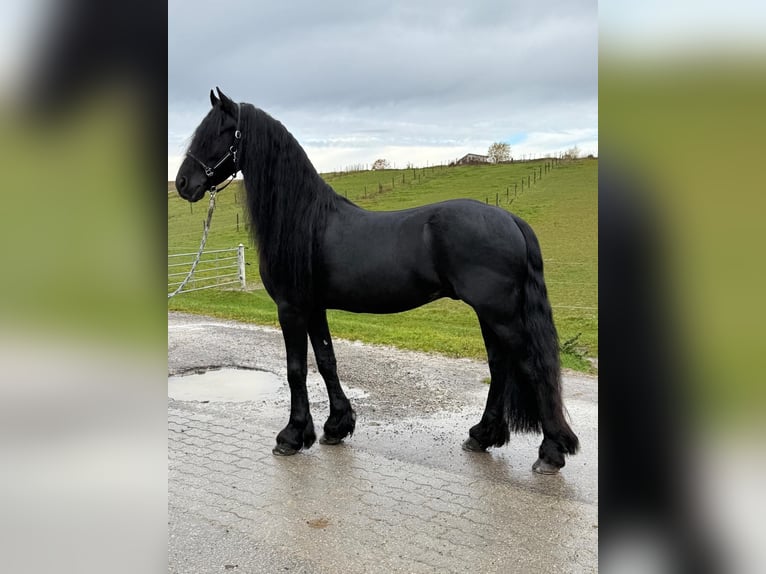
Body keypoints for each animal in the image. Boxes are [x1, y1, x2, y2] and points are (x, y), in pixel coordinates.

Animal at [174, 88, 579, 474]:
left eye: (218, 132)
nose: (182, 183)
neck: (305, 220)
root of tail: (510, 219)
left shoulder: (291, 308)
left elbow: (295, 369)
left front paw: (291, 436)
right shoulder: (314, 307)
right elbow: (326, 361)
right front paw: (336, 426)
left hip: (500, 313)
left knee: (530, 366)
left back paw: (550, 453)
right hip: (490, 314)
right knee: (499, 367)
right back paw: (482, 436)